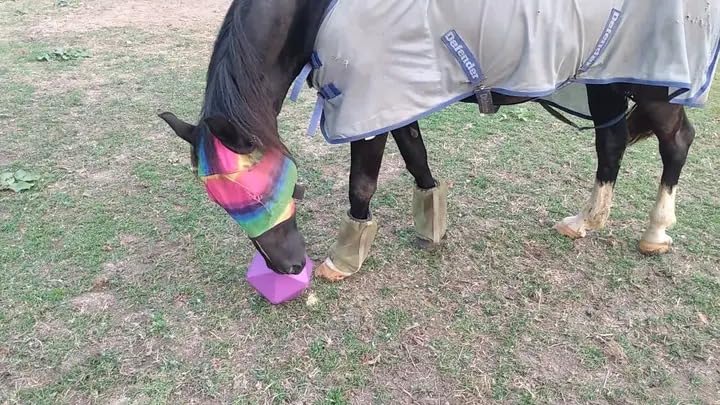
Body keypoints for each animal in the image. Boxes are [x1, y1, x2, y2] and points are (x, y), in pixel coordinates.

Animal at [158, 0, 715, 280]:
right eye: (221, 203)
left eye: (263, 195)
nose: (289, 266)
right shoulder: (395, 99)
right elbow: (416, 157)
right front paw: (431, 224)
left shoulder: (368, 103)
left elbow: (363, 182)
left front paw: (344, 258)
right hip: (607, 81)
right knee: (612, 143)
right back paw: (585, 222)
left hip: (652, 85)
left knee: (676, 142)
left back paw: (655, 232)